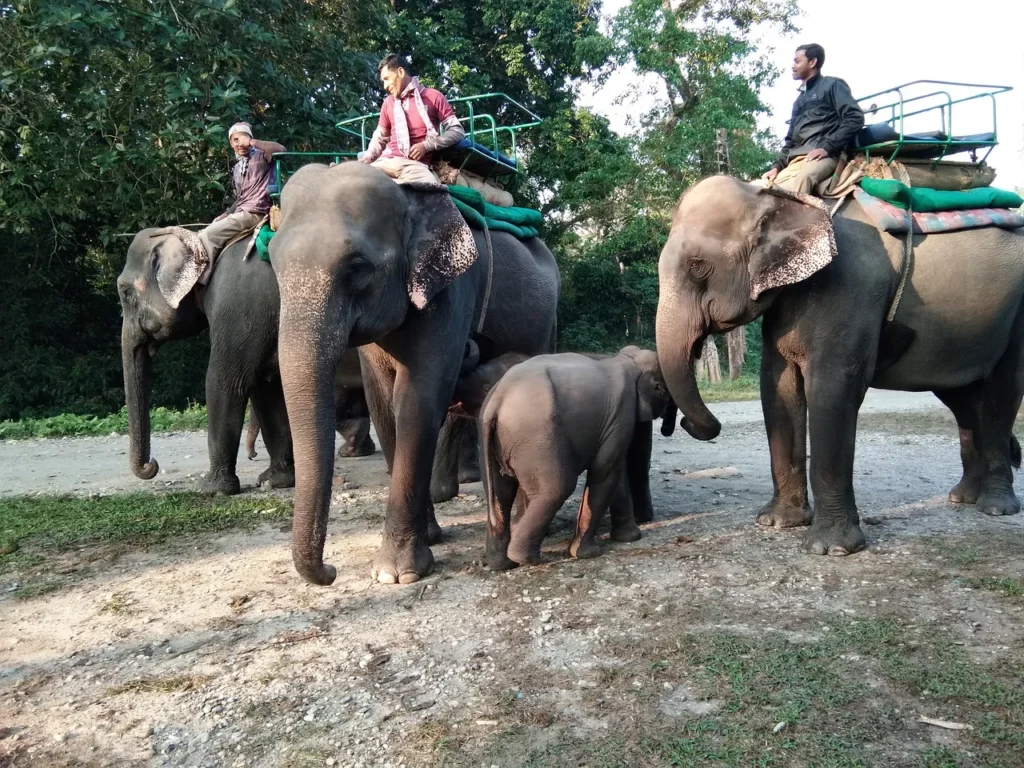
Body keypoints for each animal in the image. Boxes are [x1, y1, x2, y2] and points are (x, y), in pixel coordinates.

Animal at [270, 160, 561, 581]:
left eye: (357, 267)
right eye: (274, 264)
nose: (330, 571)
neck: (407, 197)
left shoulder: (453, 289)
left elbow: (417, 401)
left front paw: (397, 574)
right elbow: (382, 405)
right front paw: (430, 539)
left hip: (547, 318)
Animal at [477, 348, 675, 573]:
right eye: (664, 391)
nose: (666, 428)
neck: (627, 360)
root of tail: (497, 401)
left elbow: (616, 471)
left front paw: (629, 538)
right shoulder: (621, 415)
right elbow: (605, 470)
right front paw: (587, 553)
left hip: (493, 439)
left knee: (500, 494)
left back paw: (502, 564)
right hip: (537, 437)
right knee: (557, 488)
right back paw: (528, 559)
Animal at [655, 177, 1024, 557]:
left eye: (697, 266)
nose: (683, 423)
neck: (784, 199)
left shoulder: (851, 290)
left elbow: (832, 390)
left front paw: (829, 548)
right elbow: (778, 388)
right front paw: (776, 523)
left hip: (1016, 315)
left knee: (1001, 394)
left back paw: (996, 507)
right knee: (963, 400)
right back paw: (963, 497)